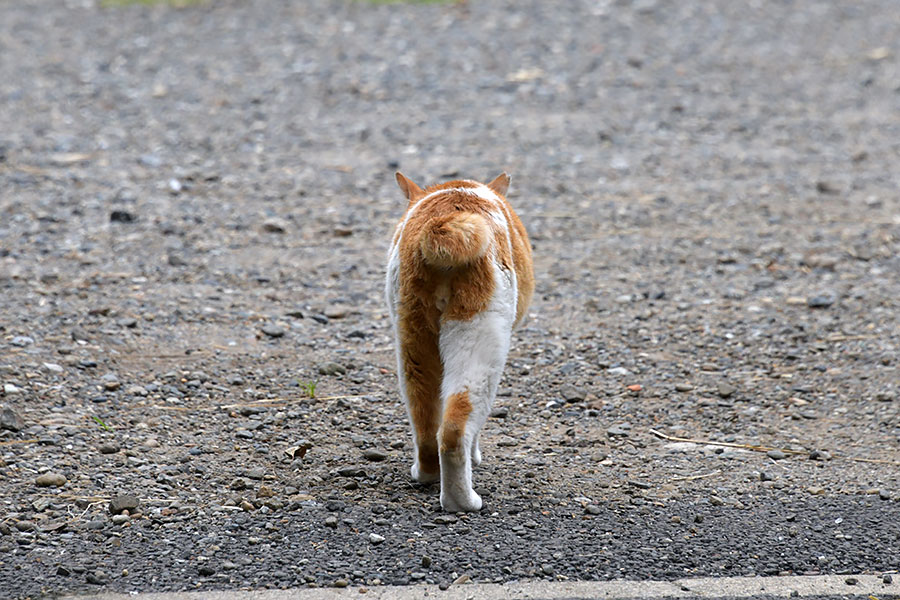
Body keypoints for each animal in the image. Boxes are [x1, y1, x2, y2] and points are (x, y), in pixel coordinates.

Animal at [384, 170, 536, 510]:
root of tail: (446, 220)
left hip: (413, 338)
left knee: (426, 421)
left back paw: (426, 474)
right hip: (480, 341)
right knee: (454, 429)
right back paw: (463, 501)